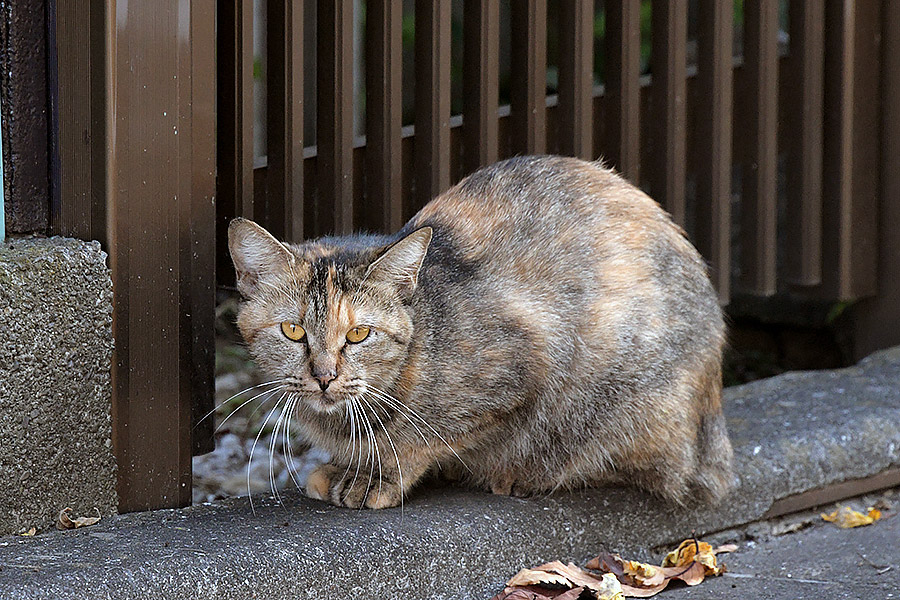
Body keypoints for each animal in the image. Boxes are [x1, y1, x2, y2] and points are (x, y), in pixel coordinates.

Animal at [229, 154, 736, 506]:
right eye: (293, 331)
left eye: (358, 335)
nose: (324, 376)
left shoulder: (526, 361)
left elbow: (422, 438)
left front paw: (378, 475)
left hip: (624, 396)